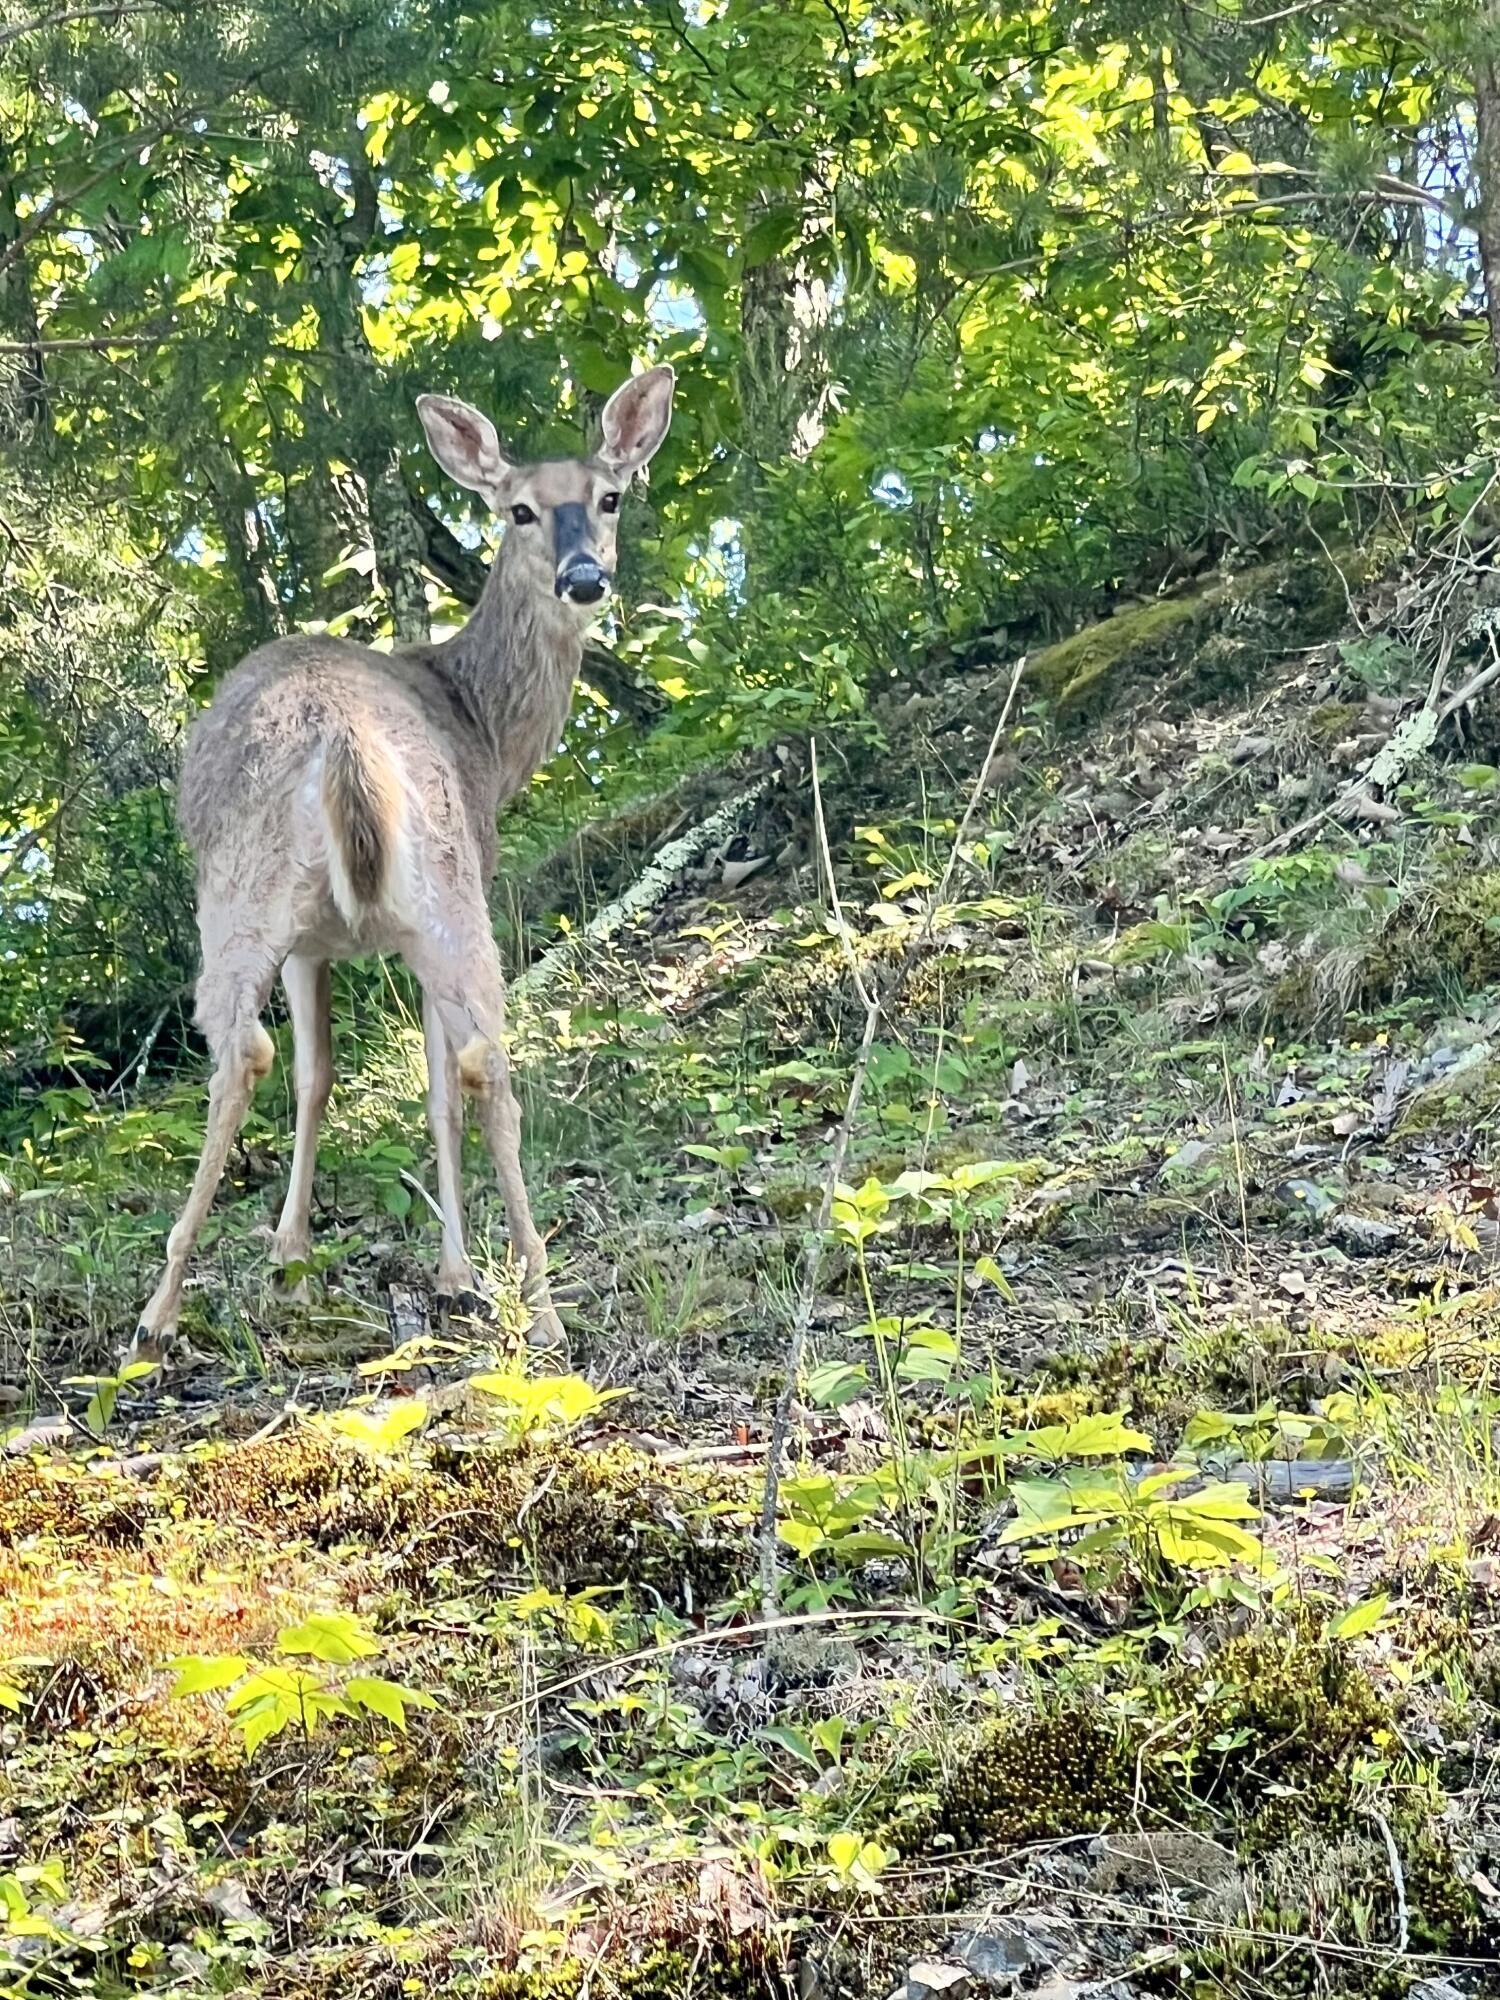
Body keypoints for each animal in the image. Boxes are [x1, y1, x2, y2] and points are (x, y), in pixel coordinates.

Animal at [135, 364, 676, 1360]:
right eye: (519, 511)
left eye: (609, 497)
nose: (586, 575)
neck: (485, 735)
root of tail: (345, 736)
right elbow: (395, 1080)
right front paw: (435, 1271)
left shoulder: (313, 941)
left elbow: (319, 1078)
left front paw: (290, 1250)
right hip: (450, 898)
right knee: (490, 1061)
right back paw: (542, 1307)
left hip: (246, 891)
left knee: (244, 1050)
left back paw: (160, 1307)